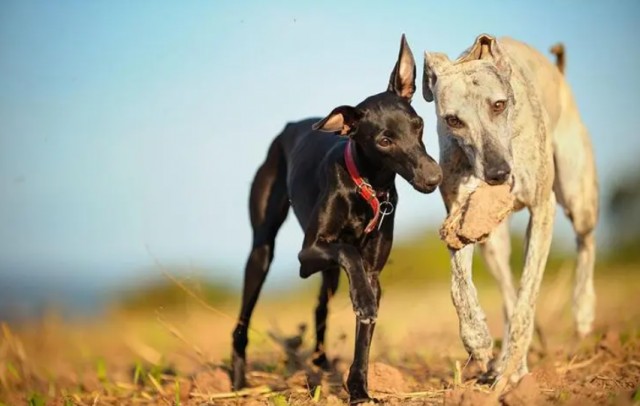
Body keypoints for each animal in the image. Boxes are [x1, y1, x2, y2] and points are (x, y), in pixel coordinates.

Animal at [232, 35, 442, 402]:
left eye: (418, 125)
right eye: (384, 140)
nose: (434, 177)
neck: (368, 187)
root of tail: (291, 125)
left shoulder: (372, 272)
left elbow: (364, 333)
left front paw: (358, 390)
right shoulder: (307, 254)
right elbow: (349, 252)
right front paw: (361, 297)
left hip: (324, 276)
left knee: (320, 309)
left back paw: (321, 362)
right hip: (262, 251)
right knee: (243, 319)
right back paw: (238, 379)